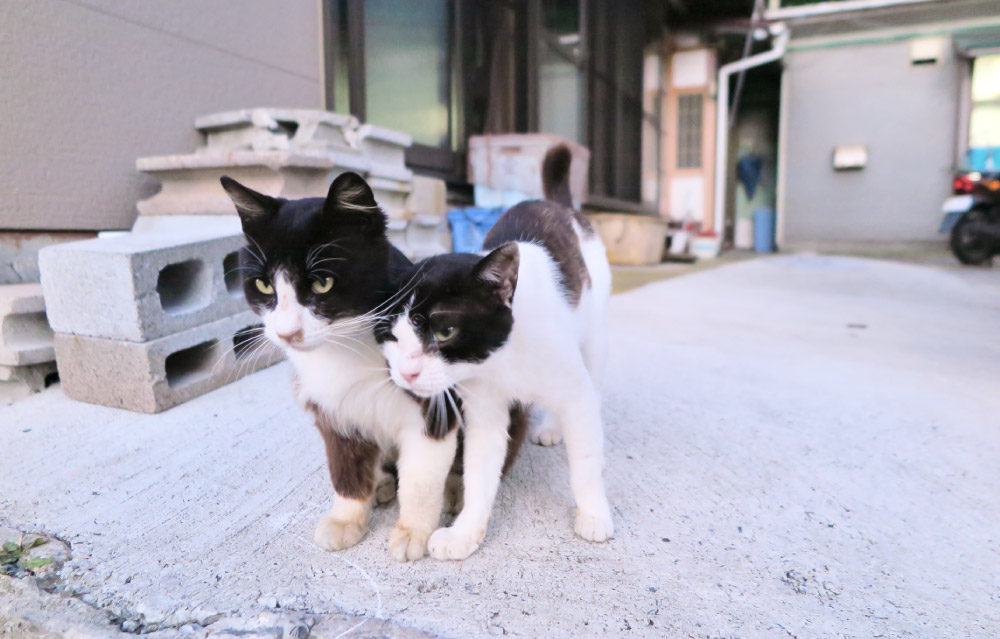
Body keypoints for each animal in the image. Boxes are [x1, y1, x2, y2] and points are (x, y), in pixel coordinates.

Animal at [223, 172, 464, 564]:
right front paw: (346, 520)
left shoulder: (432, 403)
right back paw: (380, 483)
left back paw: (455, 489)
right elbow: (344, 465)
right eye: (263, 284)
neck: (345, 347)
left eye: (323, 282)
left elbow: (421, 477)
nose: (286, 333)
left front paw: (412, 530)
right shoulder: (331, 407)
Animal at [376, 146, 608, 560]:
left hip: (592, 334)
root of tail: (557, 205)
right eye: (392, 337)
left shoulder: (574, 391)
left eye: (445, 332)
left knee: (592, 385)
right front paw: (465, 532)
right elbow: (479, 473)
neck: (503, 357)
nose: (406, 373)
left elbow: (584, 461)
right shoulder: (485, 411)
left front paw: (594, 513)